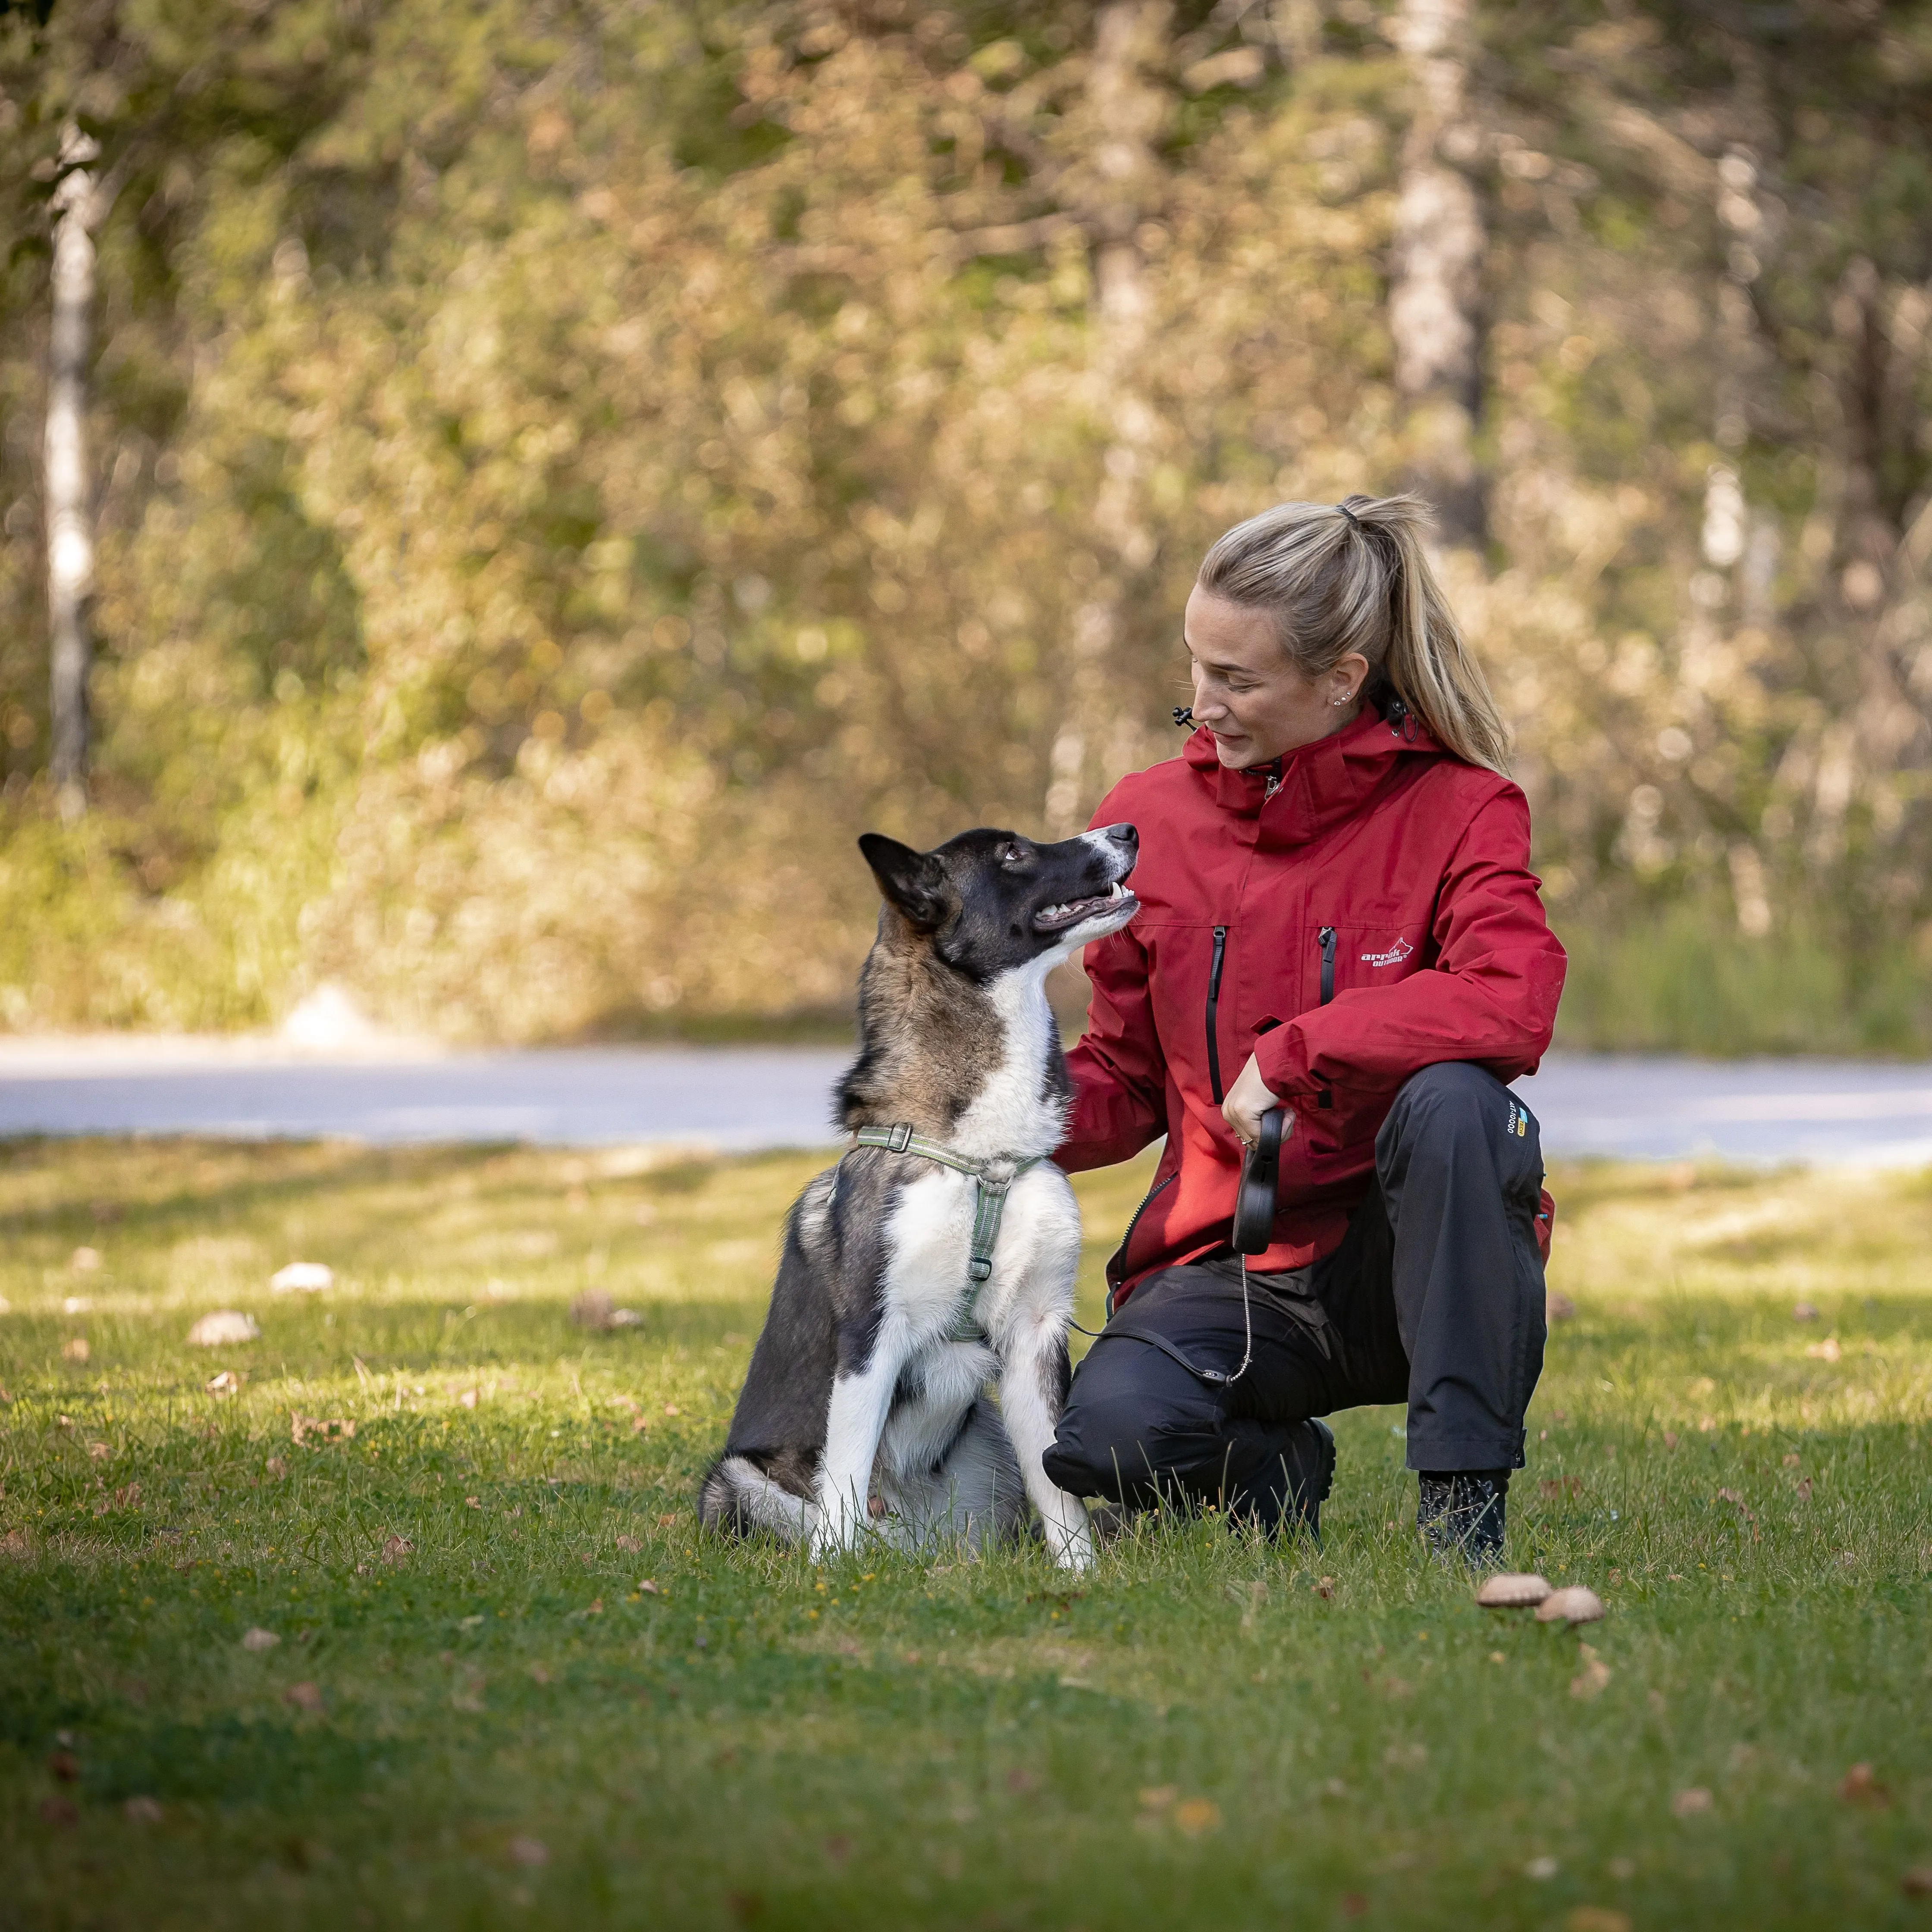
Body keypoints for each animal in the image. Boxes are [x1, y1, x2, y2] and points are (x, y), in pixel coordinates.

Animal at [703, 819, 1136, 1568]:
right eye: (1013, 853)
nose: (1128, 830)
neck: (984, 1159)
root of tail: (915, 1544)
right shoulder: (872, 1336)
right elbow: (844, 1481)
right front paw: (830, 1577)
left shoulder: (1034, 1338)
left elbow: (1061, 1493)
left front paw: (1083, 1576)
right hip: (736, 1480)